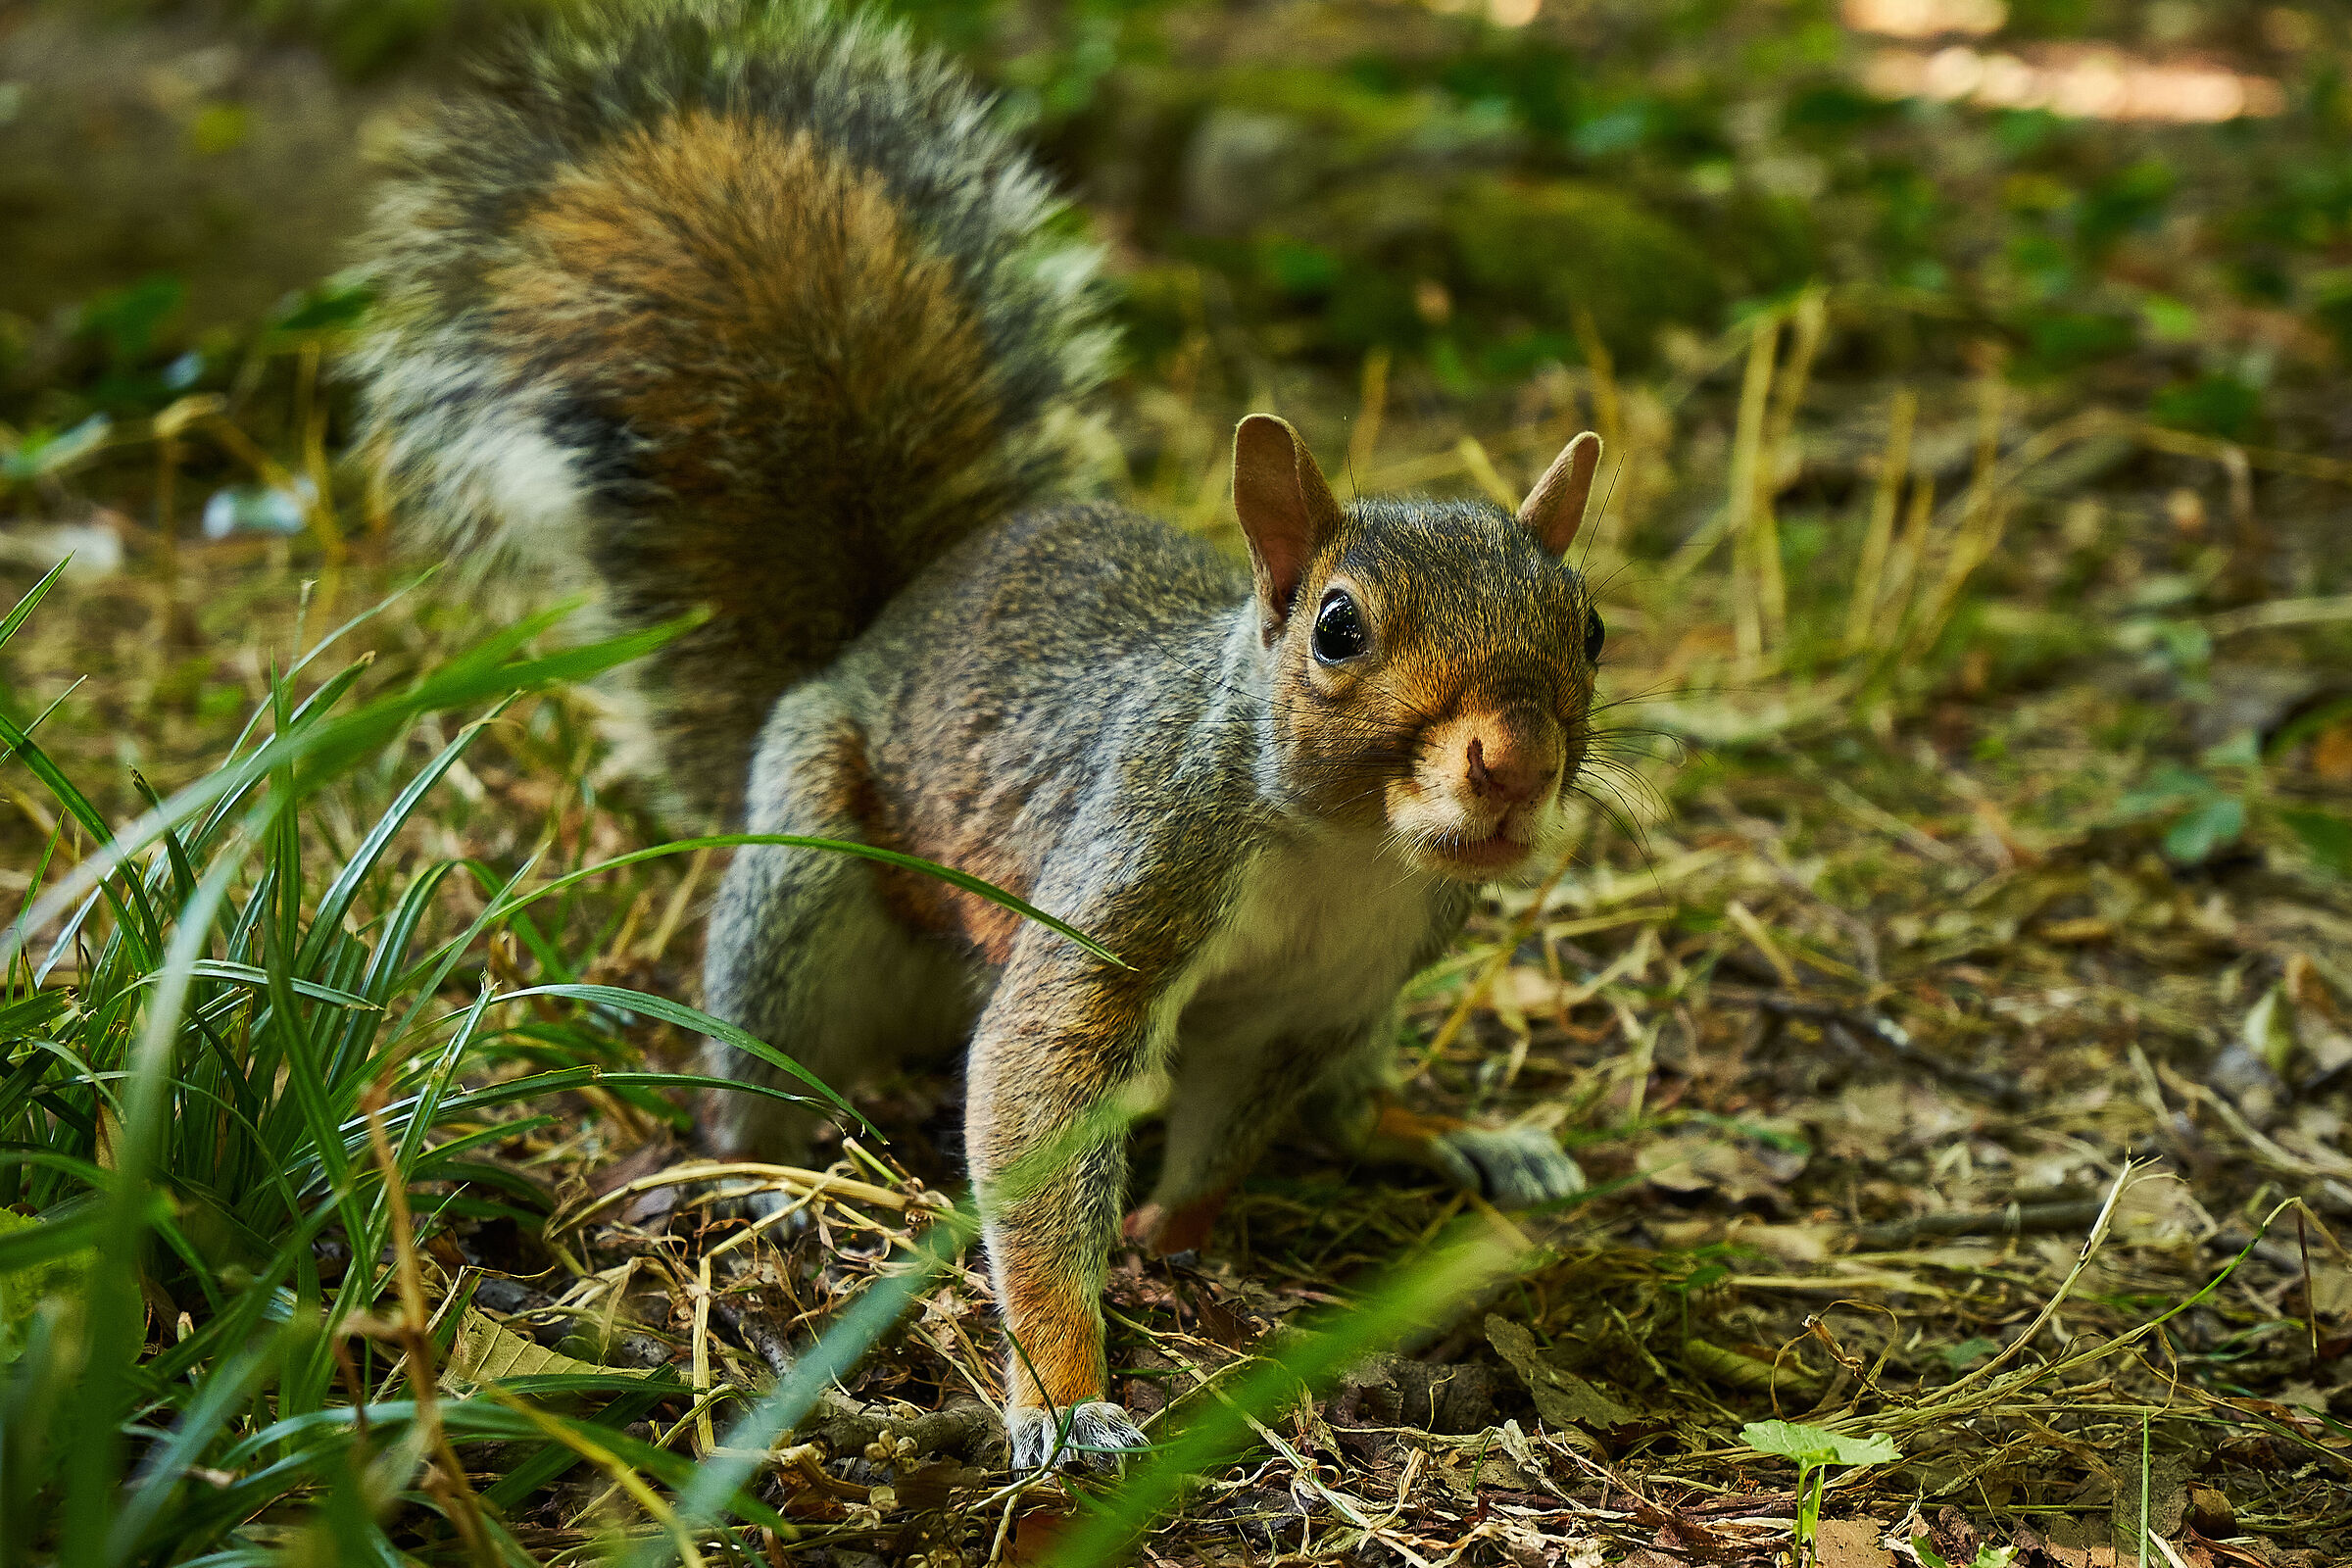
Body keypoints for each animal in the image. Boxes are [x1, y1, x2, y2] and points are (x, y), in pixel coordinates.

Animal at [356, 0, 1608, 1471]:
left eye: (1592, 630)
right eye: (1339, 629)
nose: (1515, 765)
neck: (1343, 848)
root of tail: (877, 628)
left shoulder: (1320, 1004)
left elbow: (1234, 1125)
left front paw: (1174, 1230)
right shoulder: (1136, 867)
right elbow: (1037, 1083)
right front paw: (1067, 1395)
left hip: (1365, 1024)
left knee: (1352, 1111)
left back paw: (1464, 1138)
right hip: (813, 875)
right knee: (765, 1051)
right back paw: (760, 1164)